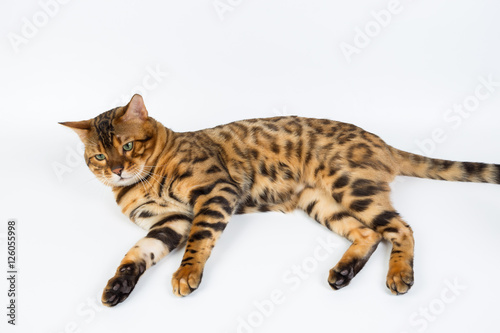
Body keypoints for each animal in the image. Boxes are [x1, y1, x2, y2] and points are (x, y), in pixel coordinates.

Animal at [61, 94, 500, 306]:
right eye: (98, 157)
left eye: (127, 146)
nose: (117, 170)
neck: (141, 182)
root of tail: (382, 142)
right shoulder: (168, 221)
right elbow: (137, 253)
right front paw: (118, 285)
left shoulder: (215, 192)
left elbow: (199, 241)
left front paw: (187, 274)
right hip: (321, 202)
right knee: (369, 234)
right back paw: (344, 272)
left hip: (348, 185)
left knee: (401, 228)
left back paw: (398, 274)